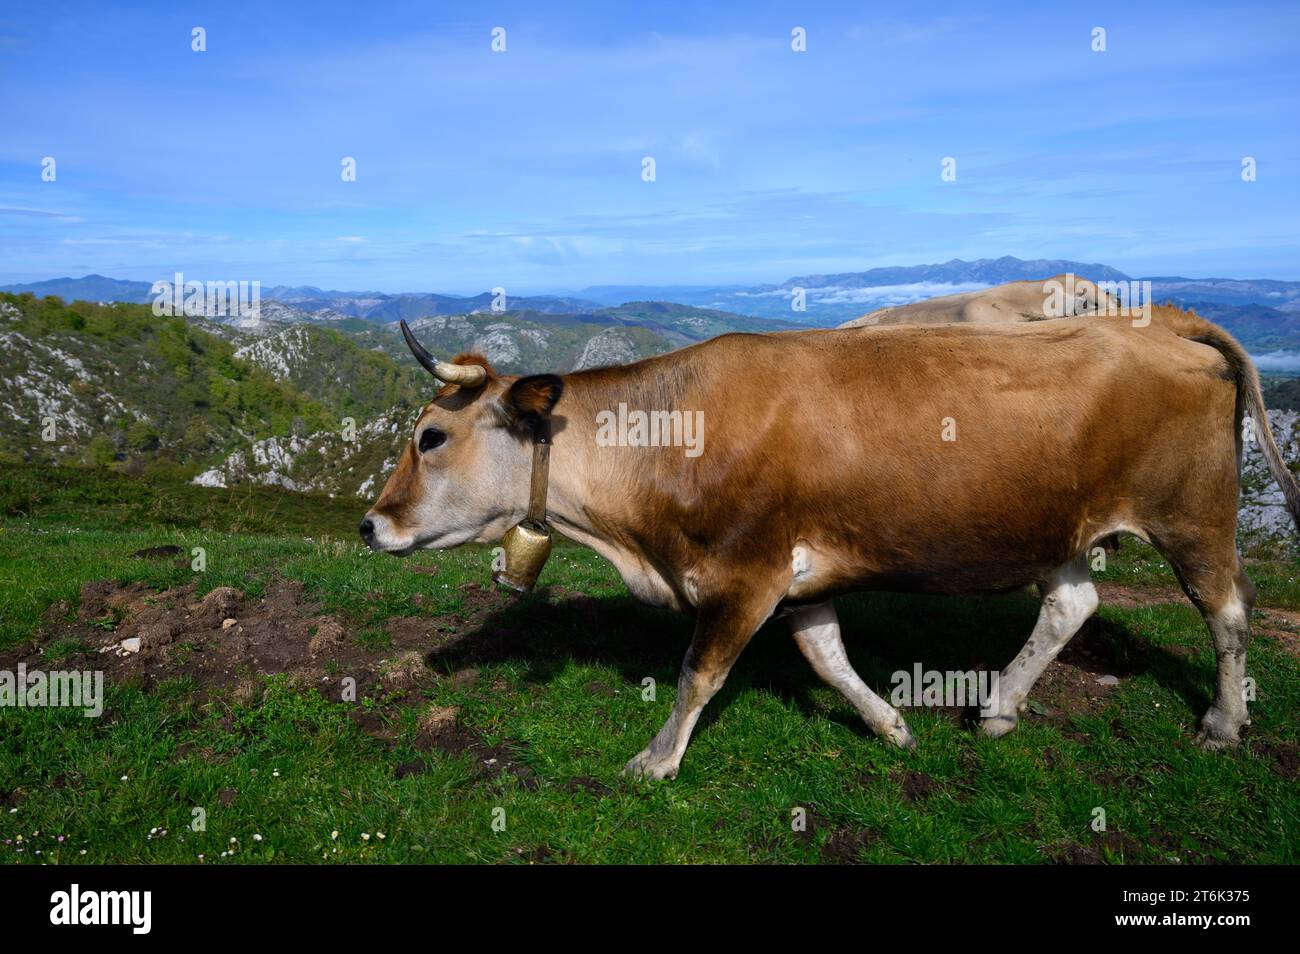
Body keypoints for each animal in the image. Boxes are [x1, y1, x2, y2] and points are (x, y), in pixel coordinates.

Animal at [361, 310, 1300, 779]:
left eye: (432, 436)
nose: (371, 524)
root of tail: (1163, 325)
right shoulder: (798, 576)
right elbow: (826, 657)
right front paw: (891, 726)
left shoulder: (744, 573)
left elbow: (699, 673)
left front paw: (657, 760)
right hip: (1056, 523)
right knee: (1073, 603)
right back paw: (997, 706)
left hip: (1193, 516)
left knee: (1227, 612)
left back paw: (1224, 722)